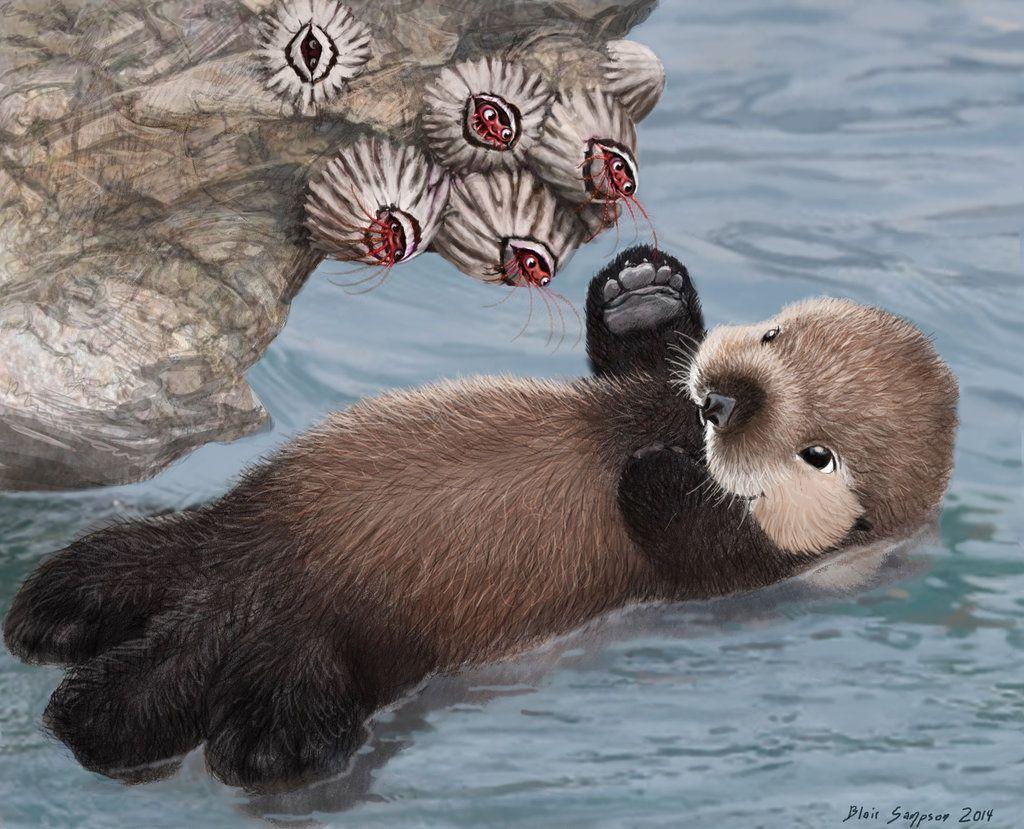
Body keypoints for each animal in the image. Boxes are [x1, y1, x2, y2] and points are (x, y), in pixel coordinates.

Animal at [2, 246, 958, 792]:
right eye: (772, 338)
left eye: (818, 455)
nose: (723, 401)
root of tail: (235, 601)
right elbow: (642, 362)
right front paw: (643, 292)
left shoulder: (744, 570)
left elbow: (685, 539)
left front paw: (658, 471)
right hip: (212, 537)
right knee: (134, 561)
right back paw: (54, 609)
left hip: (321, 650)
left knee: (269, 720)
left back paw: (212, 735)